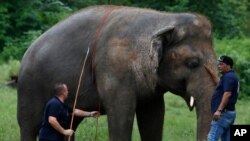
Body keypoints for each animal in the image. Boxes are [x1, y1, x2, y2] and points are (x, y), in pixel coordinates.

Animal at [17, 4, 217, 141]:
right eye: (193, 63)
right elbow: (121, 114)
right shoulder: (114, 69)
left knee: (69, 124)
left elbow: (154, 115)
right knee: (29, 125)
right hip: (29, 87)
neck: (164, 19)